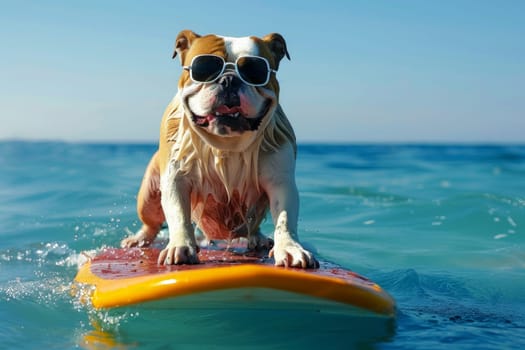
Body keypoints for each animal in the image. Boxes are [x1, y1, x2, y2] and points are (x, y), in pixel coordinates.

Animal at [121, 30, 318, 268]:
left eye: (255, 71)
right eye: (204, 68)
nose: (229, 79)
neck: (227, 143)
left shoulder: (281, 182)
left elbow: (284, 218)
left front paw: (290, 248)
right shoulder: (176, 179)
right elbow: (179, 214)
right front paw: (181, 246)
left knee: (253, 225)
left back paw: (258, 238)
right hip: (149, 195)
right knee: (151, 222)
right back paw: (139, 239)